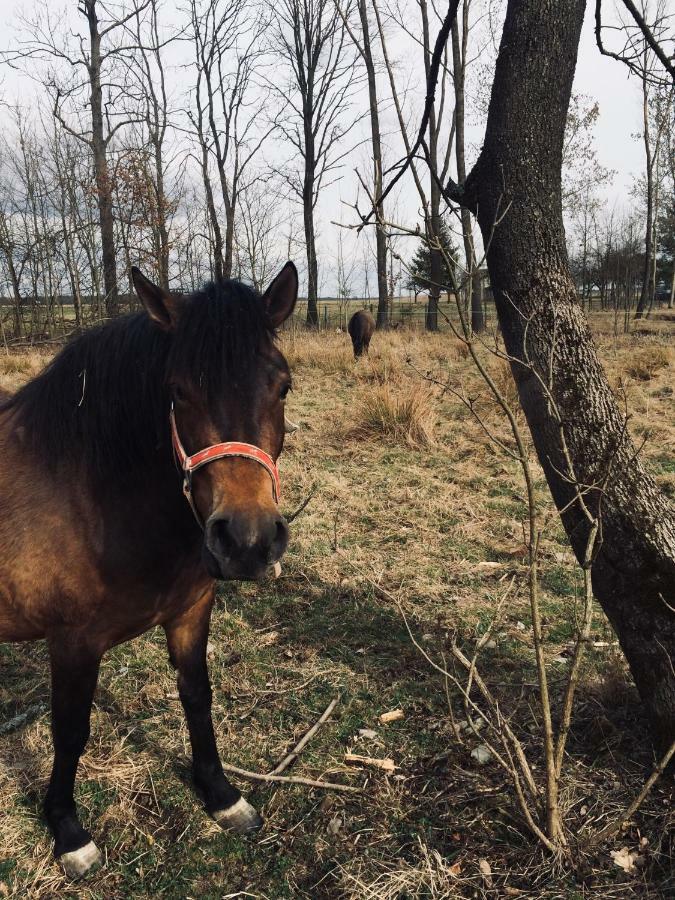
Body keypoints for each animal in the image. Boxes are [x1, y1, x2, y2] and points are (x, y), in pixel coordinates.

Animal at [0, 262, 298, 880]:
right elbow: (70, 730)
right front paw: (67, 830)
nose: (248, 541)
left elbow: (196, 694)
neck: (92, 496)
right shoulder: (71, 643)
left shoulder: (190, 611)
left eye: (282, 386)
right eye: (178, 390)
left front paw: (220, 794)